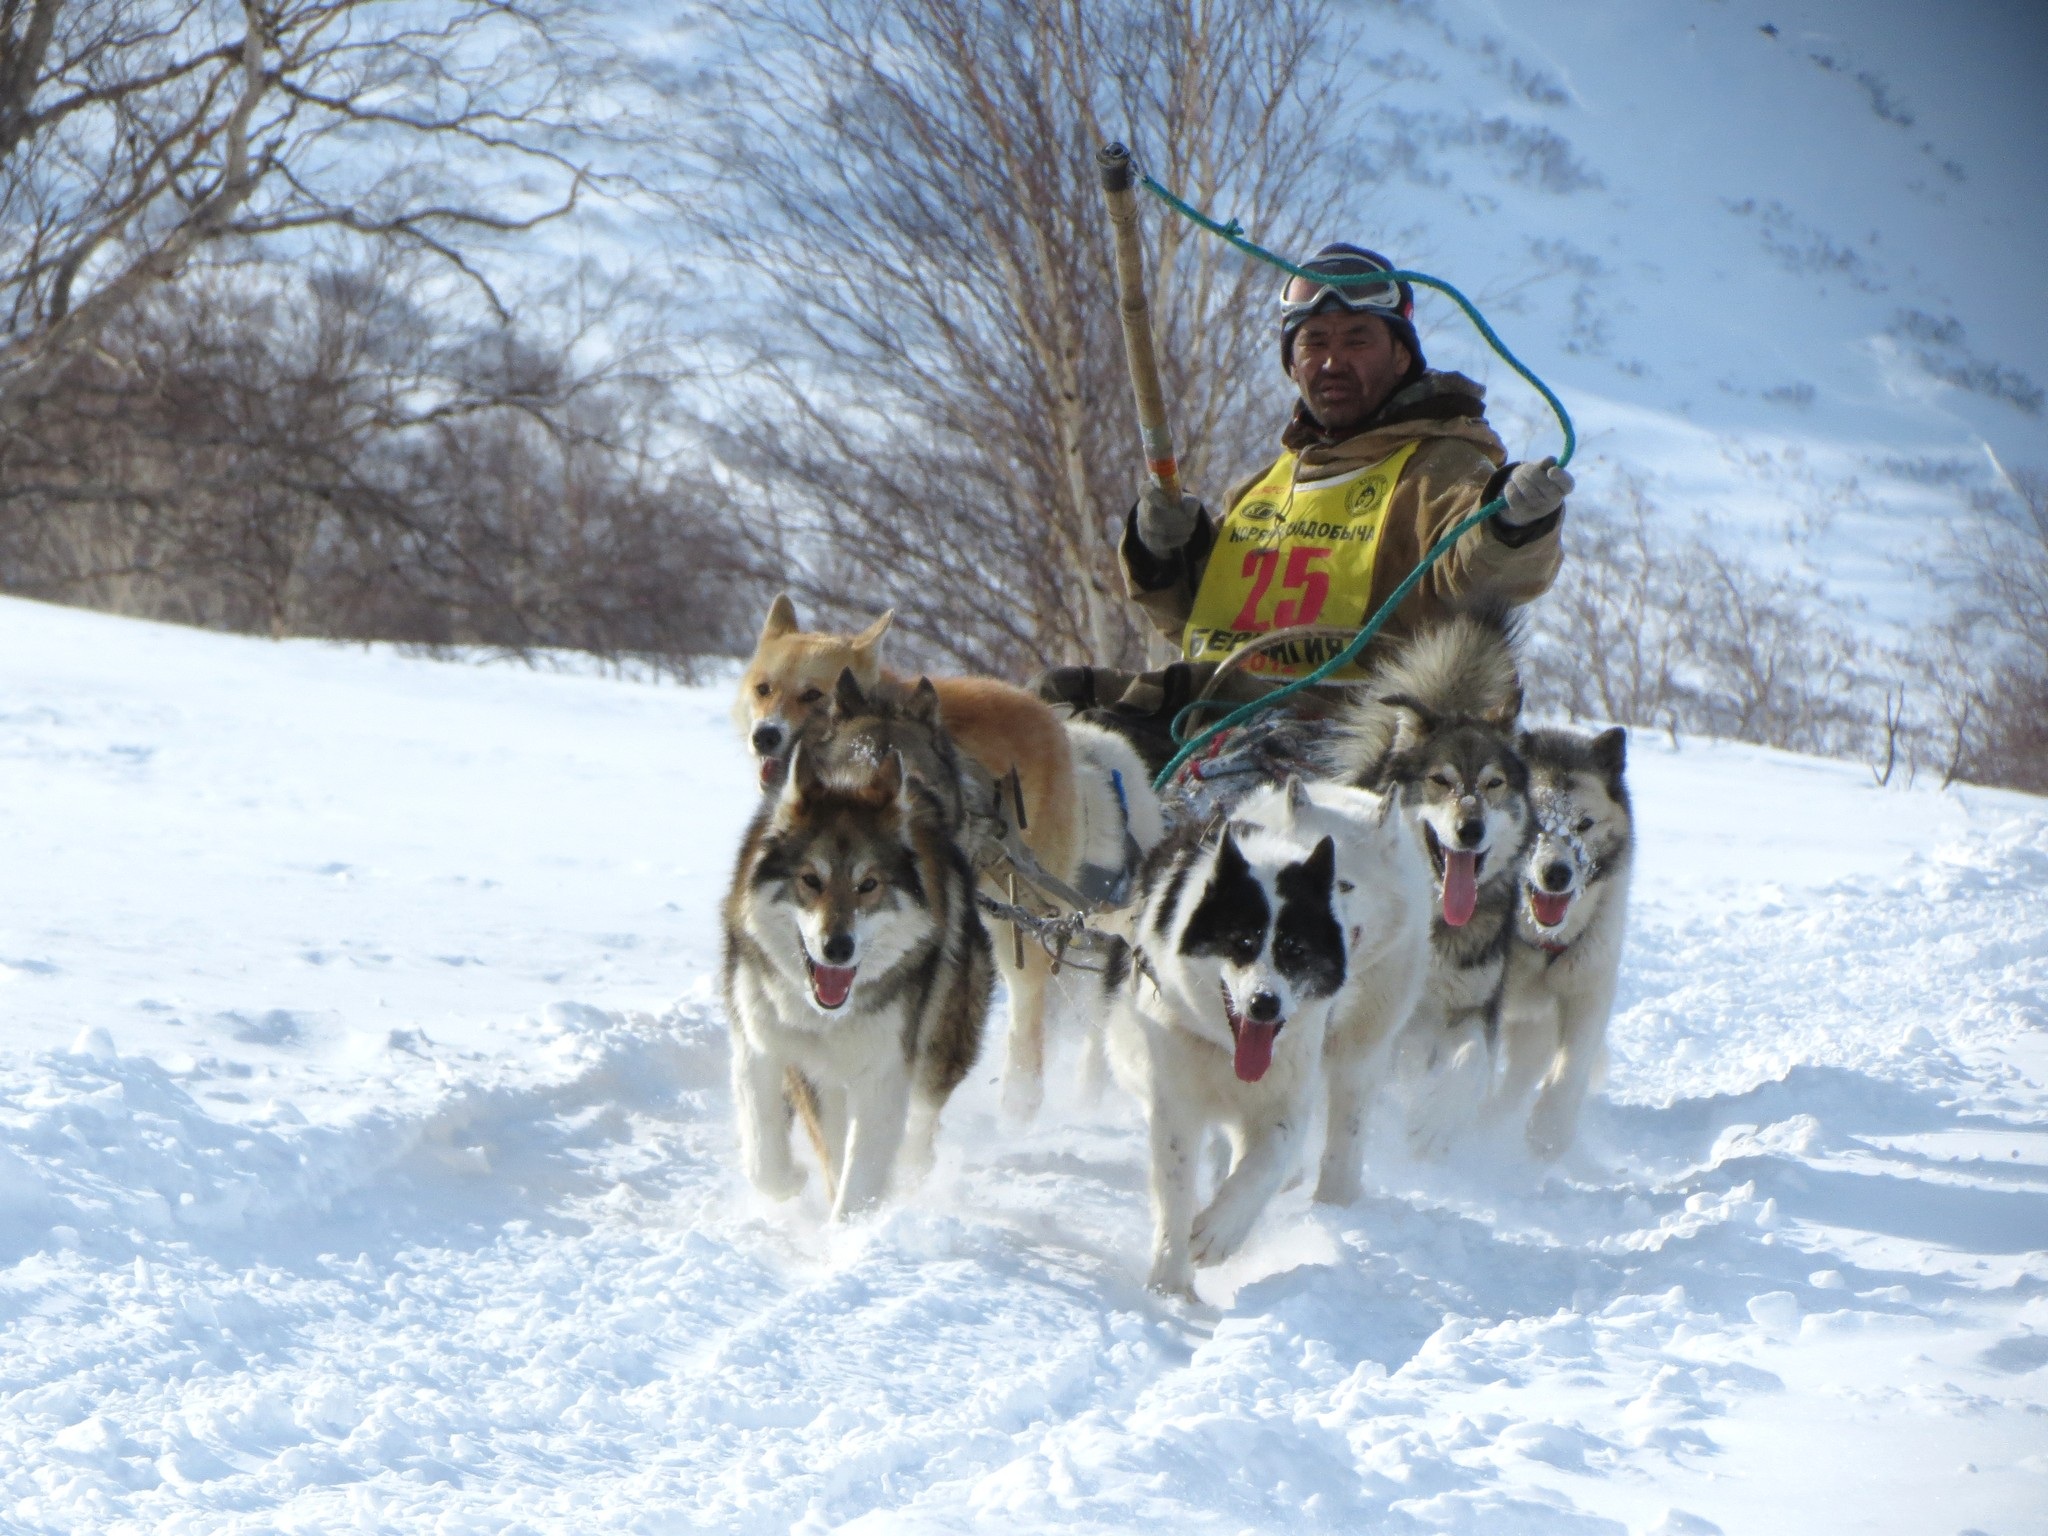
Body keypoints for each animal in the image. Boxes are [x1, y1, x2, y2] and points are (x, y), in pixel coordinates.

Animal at [737, 598, 1163, 1122]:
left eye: (811, 694)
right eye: (764, 689)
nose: (765, 735)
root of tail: (1061, 727)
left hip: (1023, 921)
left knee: (1033, 1004)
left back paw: (1024, 1100)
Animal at [1114, 819, 1351, 1302]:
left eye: (1296, 950)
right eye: (1243, 942)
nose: (1264, 1004)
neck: (1226, 1052)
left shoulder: (1286, 1102)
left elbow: (1265, 1164)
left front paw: (1217, 1233)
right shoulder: (1175, 1102)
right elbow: (1175, 1187)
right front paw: (1170, 1283)